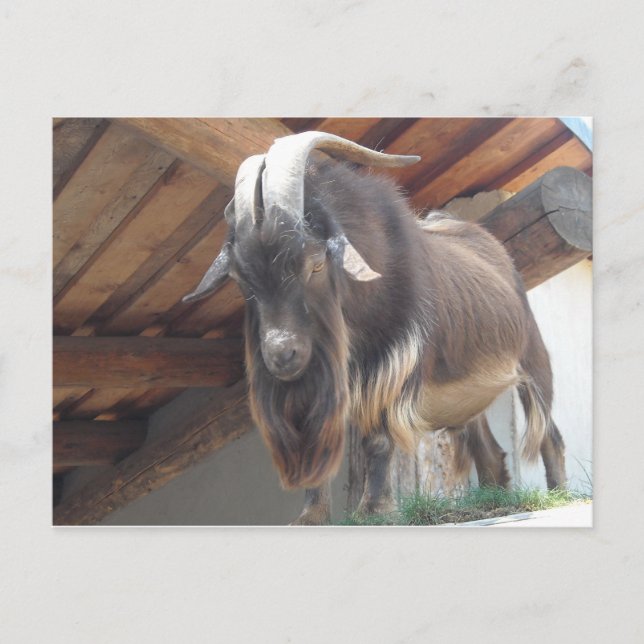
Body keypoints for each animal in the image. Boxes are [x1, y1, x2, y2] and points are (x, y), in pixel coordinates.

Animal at [184, 131, 566, 525]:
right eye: (242, 280)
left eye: (315, 264)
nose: (282, 355)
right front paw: (311, 516)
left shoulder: (393, 360)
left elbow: (378, 438)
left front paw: (374, 509)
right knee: (489, 451)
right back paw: (492, 501)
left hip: (533, 358)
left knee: (550, 433)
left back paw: (559, 494)